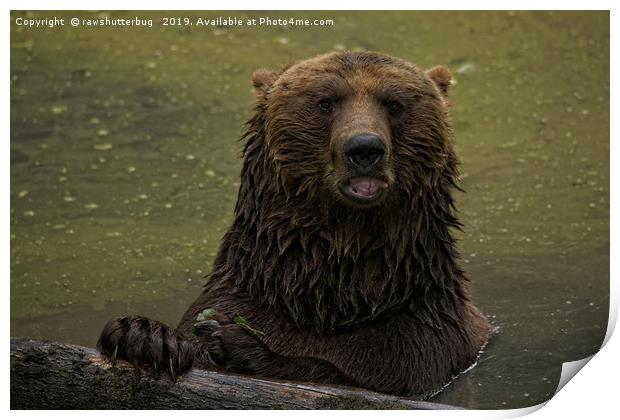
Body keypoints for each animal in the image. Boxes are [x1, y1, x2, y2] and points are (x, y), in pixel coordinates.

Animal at [97, 50, 494, 398]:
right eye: (326, 101)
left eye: (394, 103)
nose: (364, 148)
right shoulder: (248, 300)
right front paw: (143, 335)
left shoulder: (421, 337)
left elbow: (355, 375)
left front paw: (235, 342)